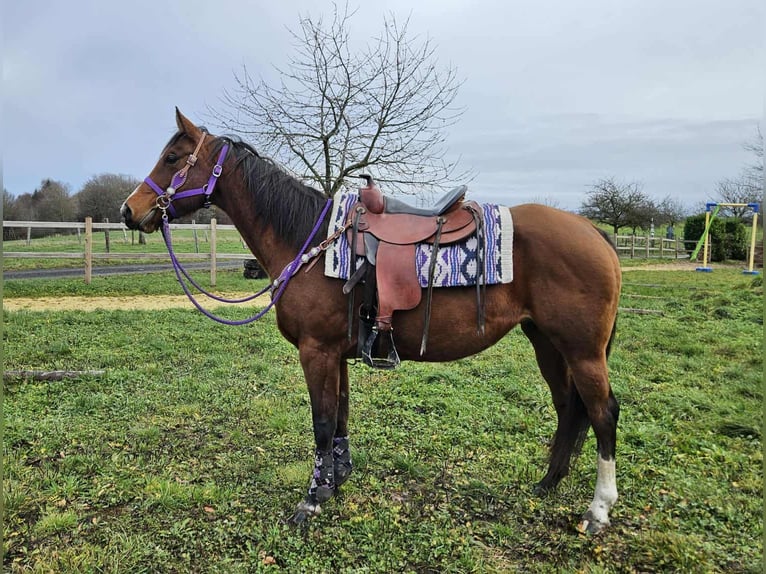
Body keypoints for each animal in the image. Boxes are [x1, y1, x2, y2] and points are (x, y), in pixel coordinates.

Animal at [121, 109, 622, 534]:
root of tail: (593, 232)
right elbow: (341, 415)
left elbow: (322, 422)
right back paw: (548, 483)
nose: (129, 210)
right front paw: (335, 479)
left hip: (582, 351)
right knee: (568, 407)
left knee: (603, 413)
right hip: (547, 344)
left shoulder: (317, 352)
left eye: (172, 158)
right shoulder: (335, 354)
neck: (309, 243)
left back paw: (597, 512)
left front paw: (311, 500)